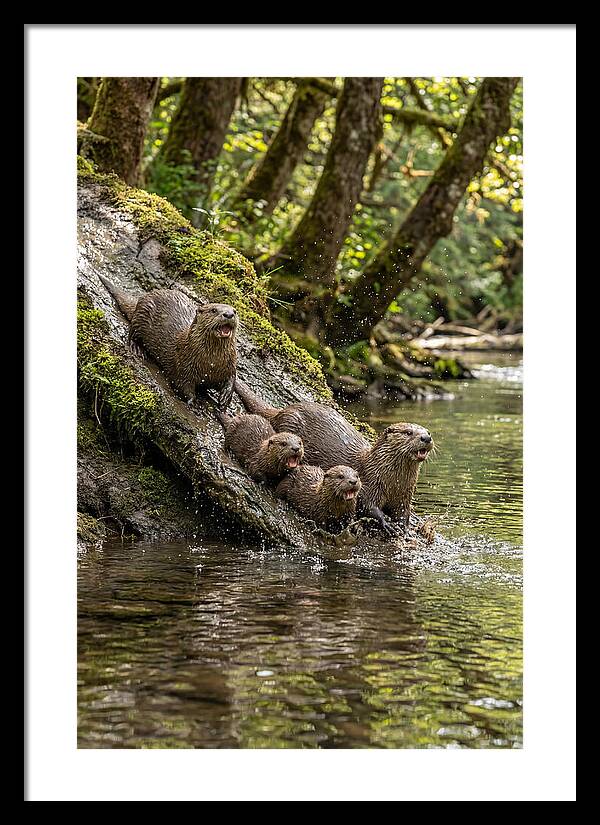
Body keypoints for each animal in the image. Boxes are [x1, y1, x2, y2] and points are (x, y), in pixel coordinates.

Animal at [99, 275, 238, 409]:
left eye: (235, 311)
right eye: (213, 310)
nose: (229, 314)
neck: (211, 364)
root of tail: (145, 296)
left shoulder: (229, 364)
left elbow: (232, 378)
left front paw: (225, 396)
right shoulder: (184, 365)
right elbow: (183, 385)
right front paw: (194, 402)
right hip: (142, 315)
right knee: (132, 331)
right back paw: (136, 348)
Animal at [235, 379, 433, 535]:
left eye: (428, 431)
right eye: (408, 432)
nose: (426, 437)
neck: (393, 481)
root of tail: (282, 411)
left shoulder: (404, 495)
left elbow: (403, 513)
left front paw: (404, 528)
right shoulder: (370, 484)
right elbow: (368, 506)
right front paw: (387, 522)